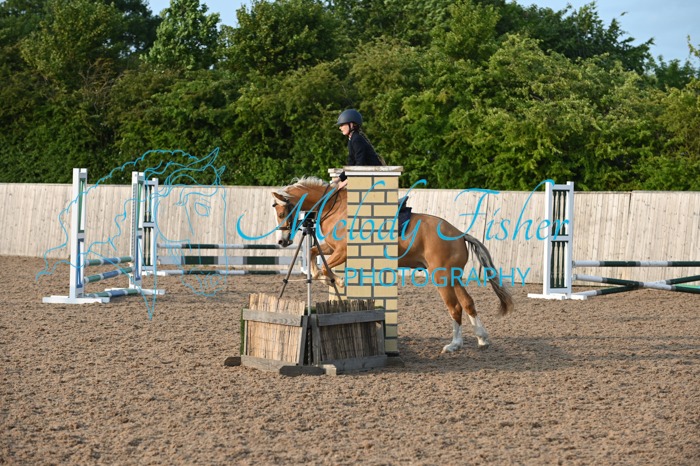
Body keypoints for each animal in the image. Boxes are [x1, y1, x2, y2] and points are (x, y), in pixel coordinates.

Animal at [271, 177, 514, 353]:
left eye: (282, 212)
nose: (282, 242)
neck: (335, 208)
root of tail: (460, 234)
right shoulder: (331, 248)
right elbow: (313, 254)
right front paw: (323, 278)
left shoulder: (342, 251)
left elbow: (324, 267)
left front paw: (337, 281)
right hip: (453, 276)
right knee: (468, 303)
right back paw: (482, 339)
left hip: (441, 277)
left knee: (454, 307)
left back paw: (454, 345)